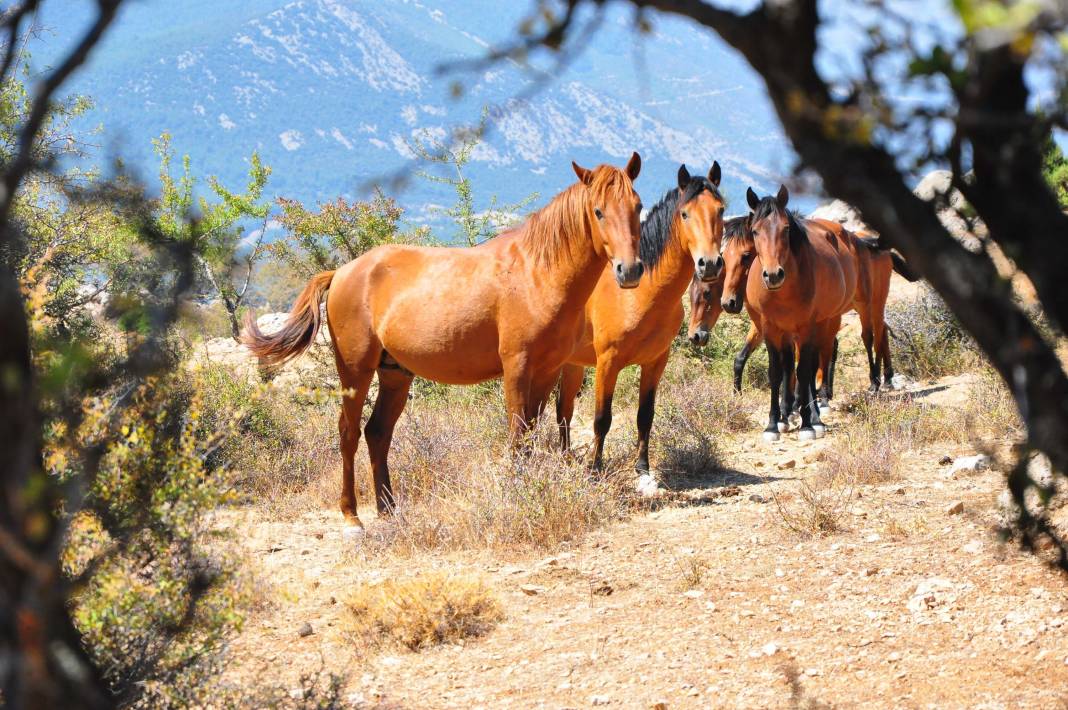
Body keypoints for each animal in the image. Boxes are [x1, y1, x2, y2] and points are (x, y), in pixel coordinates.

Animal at [243, 152, 640, 525]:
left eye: (636, 206)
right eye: (599, 211)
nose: (630, 270)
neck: (537, 273)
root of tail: (341, 272)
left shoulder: (547, 371)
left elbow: (530, 435)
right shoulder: (517, 368)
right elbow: (517, 437)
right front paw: (517, 496)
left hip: (395, 374)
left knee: (377, 433)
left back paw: (389, 510)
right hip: (355, 371)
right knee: (348, 432)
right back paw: (352, 515)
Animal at [559, 161, 726, 469]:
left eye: (720, 210)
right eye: (685, 213)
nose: (709, 263)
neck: (641, 295)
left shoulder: (655, 363)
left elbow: (645, 415)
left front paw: (642, 466)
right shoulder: (607, 364)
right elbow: (602, 419)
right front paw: (595, 468)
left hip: (573, 364)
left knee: (563, 410)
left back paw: (564, 457)